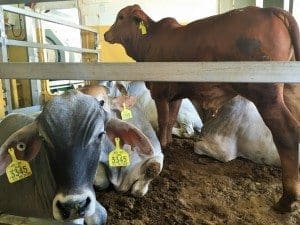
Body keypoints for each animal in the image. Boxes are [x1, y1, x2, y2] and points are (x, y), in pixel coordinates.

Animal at [103, 5, 300, 213]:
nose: (106, 34)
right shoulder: (176, 95)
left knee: (287, 133)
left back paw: (287, 200)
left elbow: (164, 120)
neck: (149, 41)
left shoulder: (160, 93)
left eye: (121, 17)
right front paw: (169, 141)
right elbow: (170, 119)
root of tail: (271, 10)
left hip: (266, 95)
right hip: (290, 90)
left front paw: (163, 144)